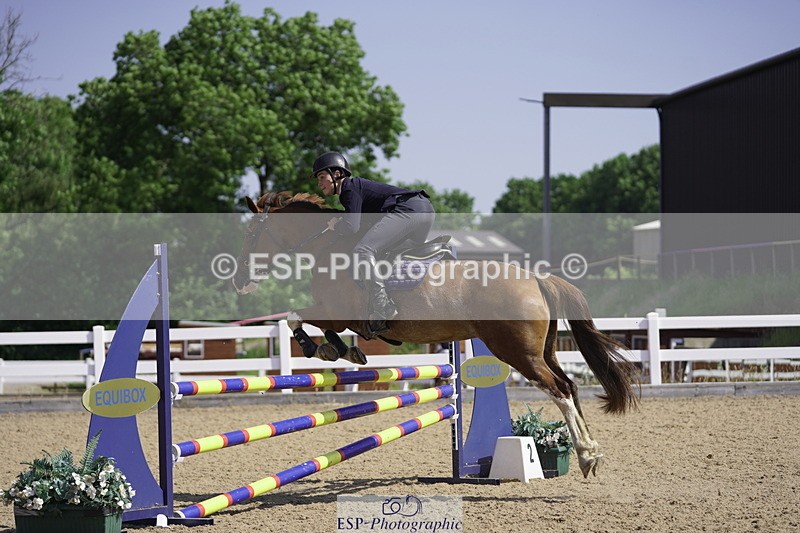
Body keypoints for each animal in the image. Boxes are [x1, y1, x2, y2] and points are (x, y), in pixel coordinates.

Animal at [232, 191, 639, 478]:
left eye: (251, 233)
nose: (238, 281)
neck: (328, 248)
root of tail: (537, 278)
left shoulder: (339, 313)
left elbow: (295, 318)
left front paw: (324, 349)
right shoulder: (339, 317)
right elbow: (311, 323)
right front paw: (343, 352)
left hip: (519, 353)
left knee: (559, 390)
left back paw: (585, 455)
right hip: (544, 351)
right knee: (569, 385)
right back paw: (591, 453)